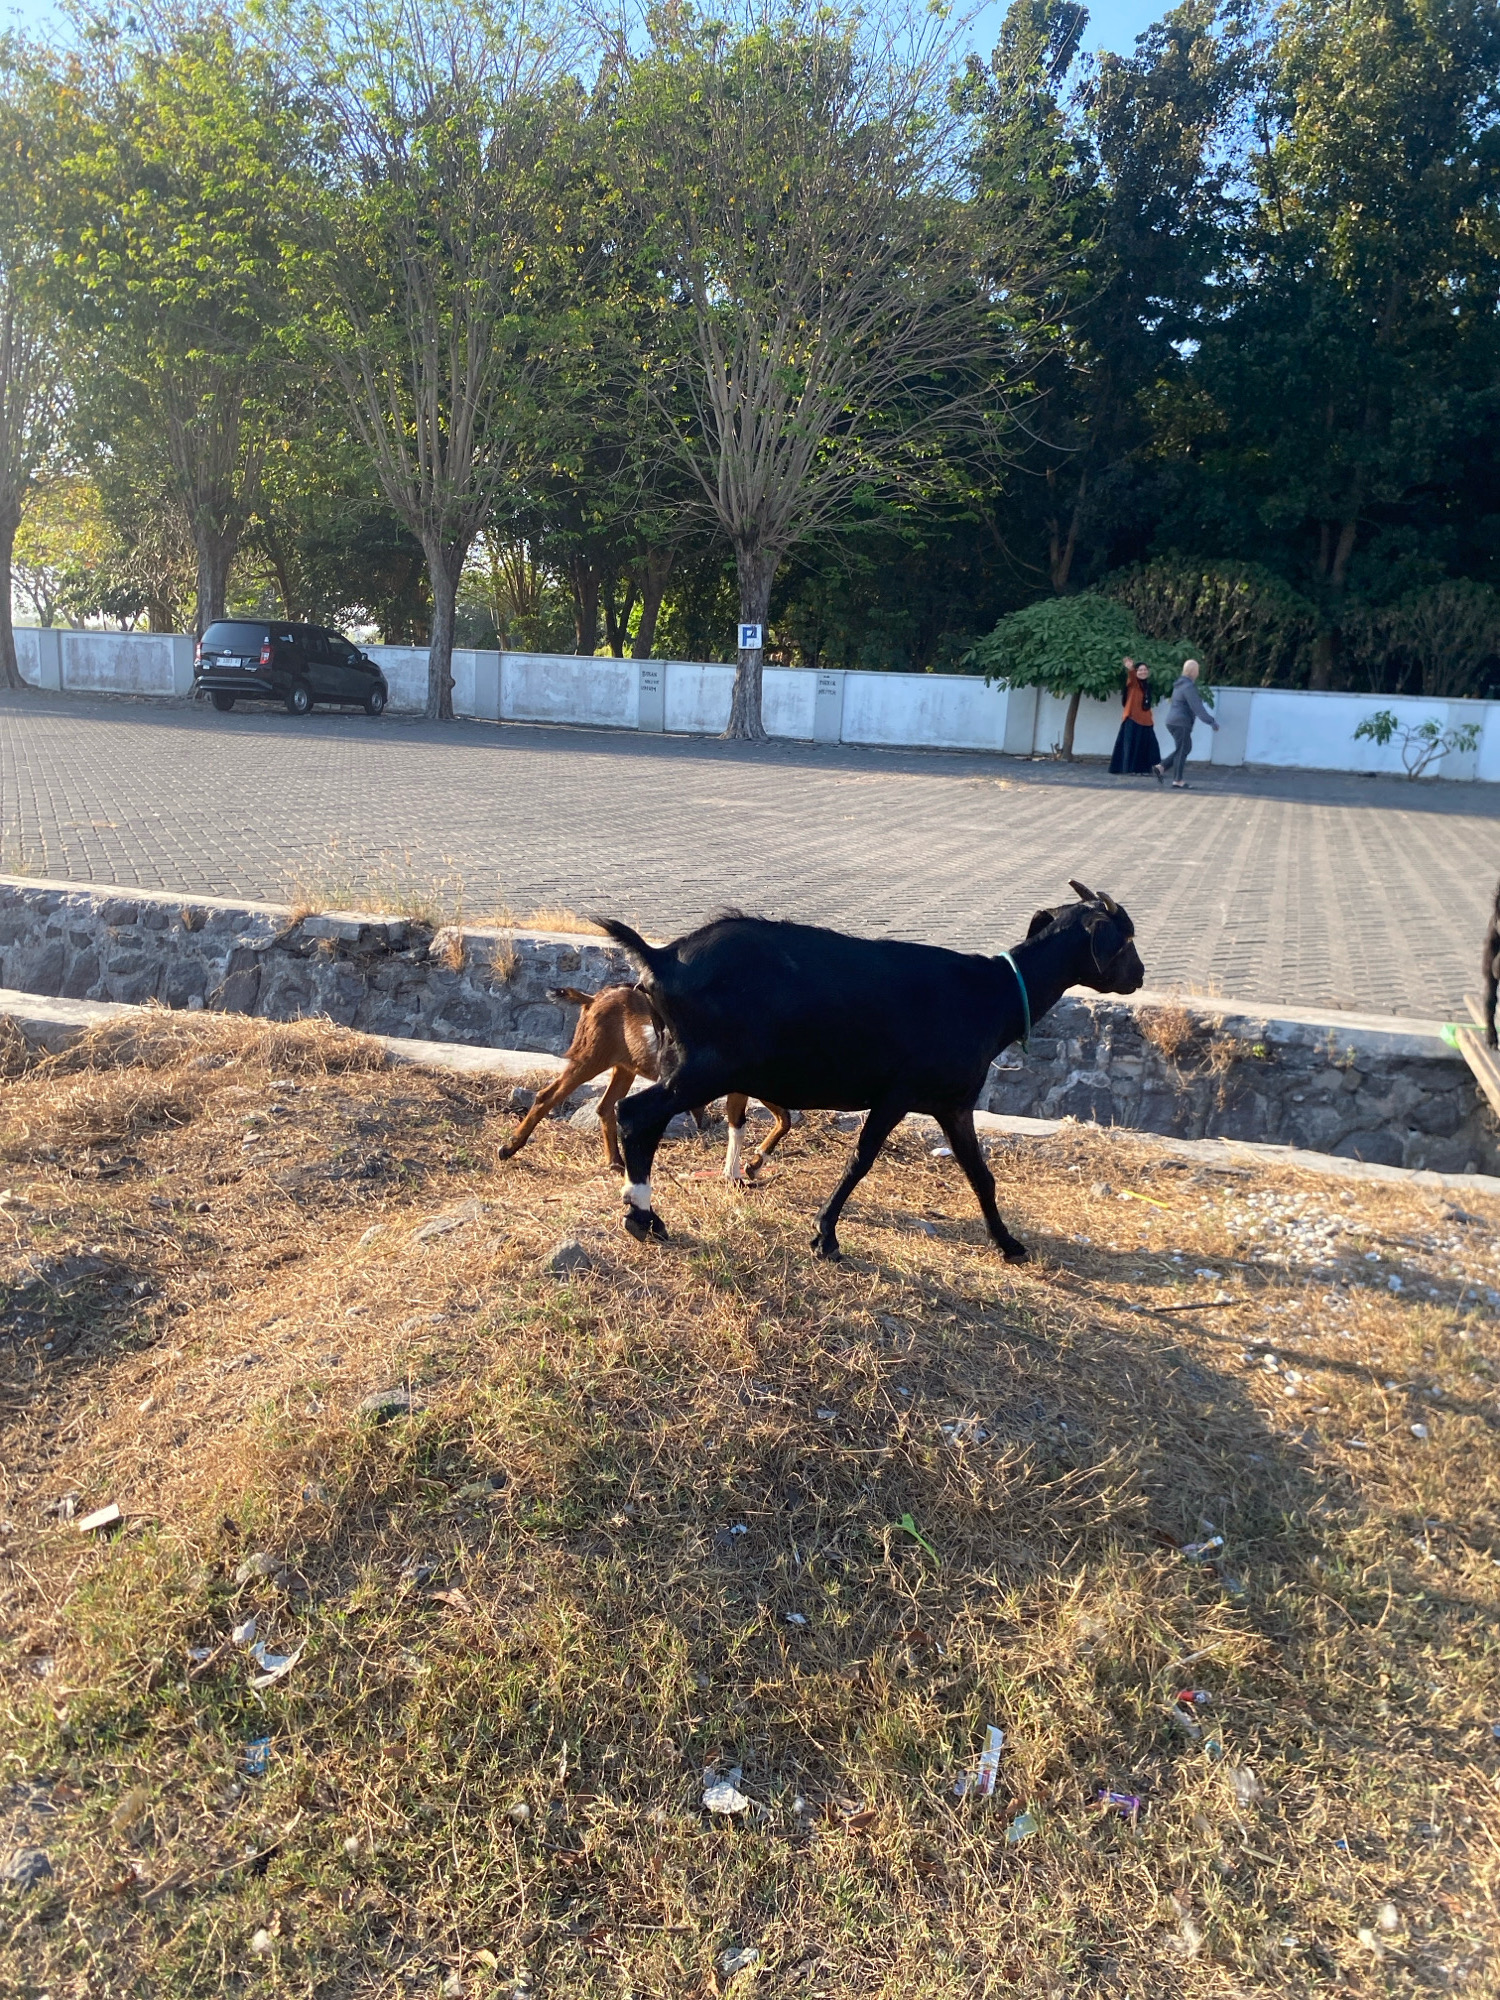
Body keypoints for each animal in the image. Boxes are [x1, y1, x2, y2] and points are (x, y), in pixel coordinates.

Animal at [497, 983, 792, 1178]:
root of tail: (592, 999)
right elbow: (741, 1125)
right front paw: (735, 1174)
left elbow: (784, 1119)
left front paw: (754, 1164)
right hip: (589, 1058)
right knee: (547, 1095)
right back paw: (509, 1148)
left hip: (624, 1067)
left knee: (605, 1106)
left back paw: (616, 1163)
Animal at [597, 883, 1144, 1259]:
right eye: (1125, 938)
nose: (1139, 976)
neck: (994, 995)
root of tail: (661, 959)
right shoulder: (898, 1094)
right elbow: (859, 1160)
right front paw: (825, 1236)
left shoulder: (953, 1104)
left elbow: (980, 1174)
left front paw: (1008, 1243)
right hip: (705, 1066)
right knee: (636, 1114)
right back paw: (642, 1215)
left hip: (689, 1064)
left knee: (644, 1120)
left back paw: (643, 1212)